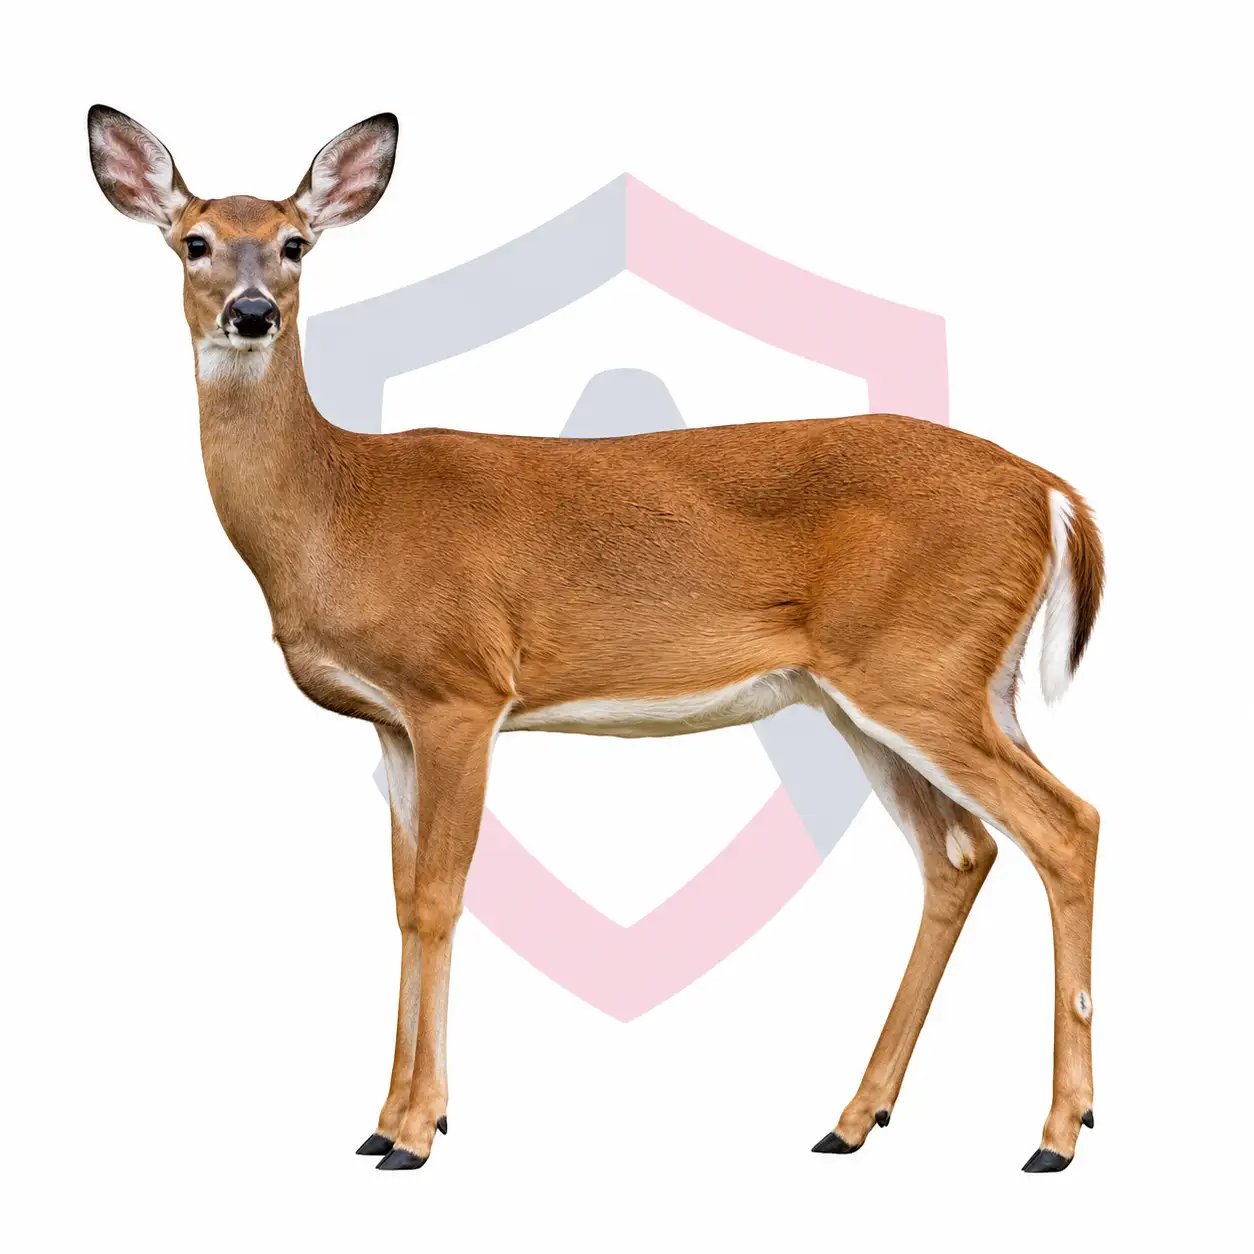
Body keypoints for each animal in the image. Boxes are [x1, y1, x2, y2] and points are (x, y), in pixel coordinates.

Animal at [87, 105, 1104, 1174]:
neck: (341, 509)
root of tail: (1051, 492)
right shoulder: (391, 722)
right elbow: (402, 898)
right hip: (902, 689)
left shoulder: (462, 691)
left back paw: (1057, 1133)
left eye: (294, 244)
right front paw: (381, 1121)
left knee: (1065, 825)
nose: (251, 313)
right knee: (960, 852)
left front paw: (416, 1131)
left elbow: (442, 896)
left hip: (921, 667)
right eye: (195, 241)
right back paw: (855, 1118)